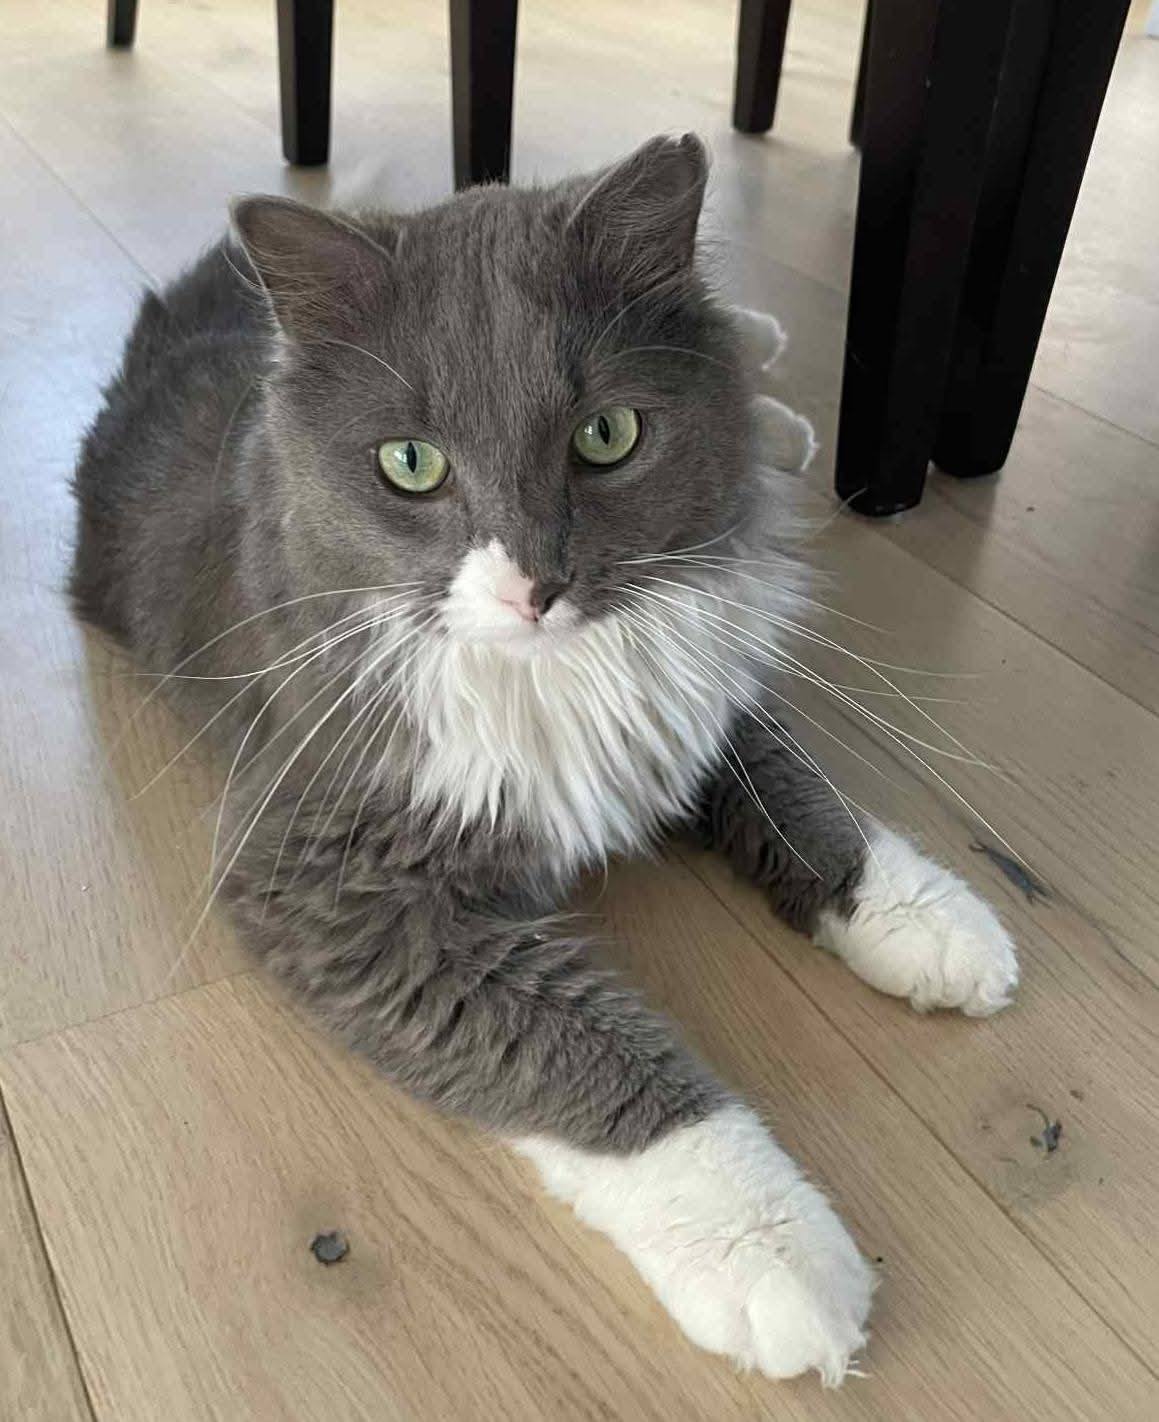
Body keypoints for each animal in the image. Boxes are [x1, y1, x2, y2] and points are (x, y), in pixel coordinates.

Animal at [71, 133, 1018, 1384]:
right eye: (411, 463)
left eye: (605, 437)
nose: (537, 584)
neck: (559, 674)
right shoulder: (335, 890)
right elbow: (585, 1055)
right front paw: (773, 1251)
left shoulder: (695, 692)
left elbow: (798, 791)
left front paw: (929, 919)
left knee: (741, 354)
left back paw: (776, 398)